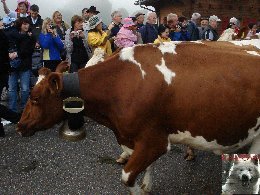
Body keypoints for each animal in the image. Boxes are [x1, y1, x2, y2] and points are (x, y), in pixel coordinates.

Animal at [17, 40, 258, 193]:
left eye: (35, 98)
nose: (20, 125)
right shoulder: (136, 137)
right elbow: (145, 167)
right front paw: (147, 185)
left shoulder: (154, 141)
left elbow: (127, 177)